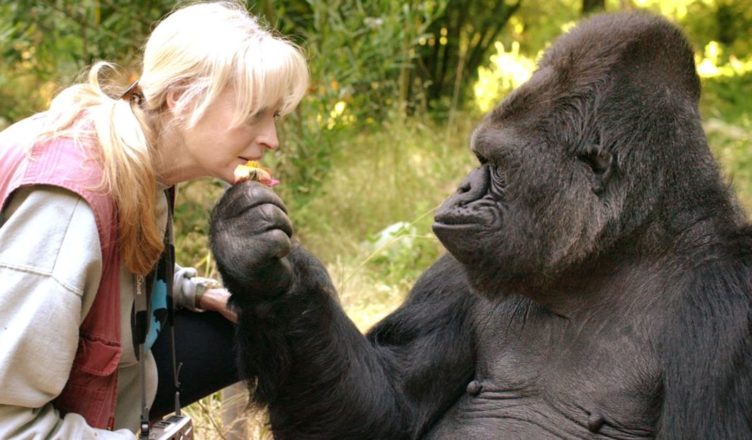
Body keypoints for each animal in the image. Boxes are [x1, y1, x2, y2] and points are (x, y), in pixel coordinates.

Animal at [207, 10, 752, 440]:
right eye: (479, 159)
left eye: (496, 165)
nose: (463, 187)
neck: (616, 253)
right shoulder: (456, 270)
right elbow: (386, 411)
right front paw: (258, 264)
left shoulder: (729, 308)